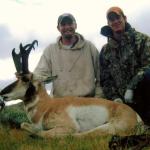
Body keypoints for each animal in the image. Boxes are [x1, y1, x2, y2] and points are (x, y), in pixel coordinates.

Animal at [0, 40, 143, 138]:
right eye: (17, 77)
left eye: (25, 79)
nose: (2, 93)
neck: (46, 106)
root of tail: (133, 113)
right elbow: (23, 124)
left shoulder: (69, 127)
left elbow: (43, 133)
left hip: (109, 127)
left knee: (83, 135)